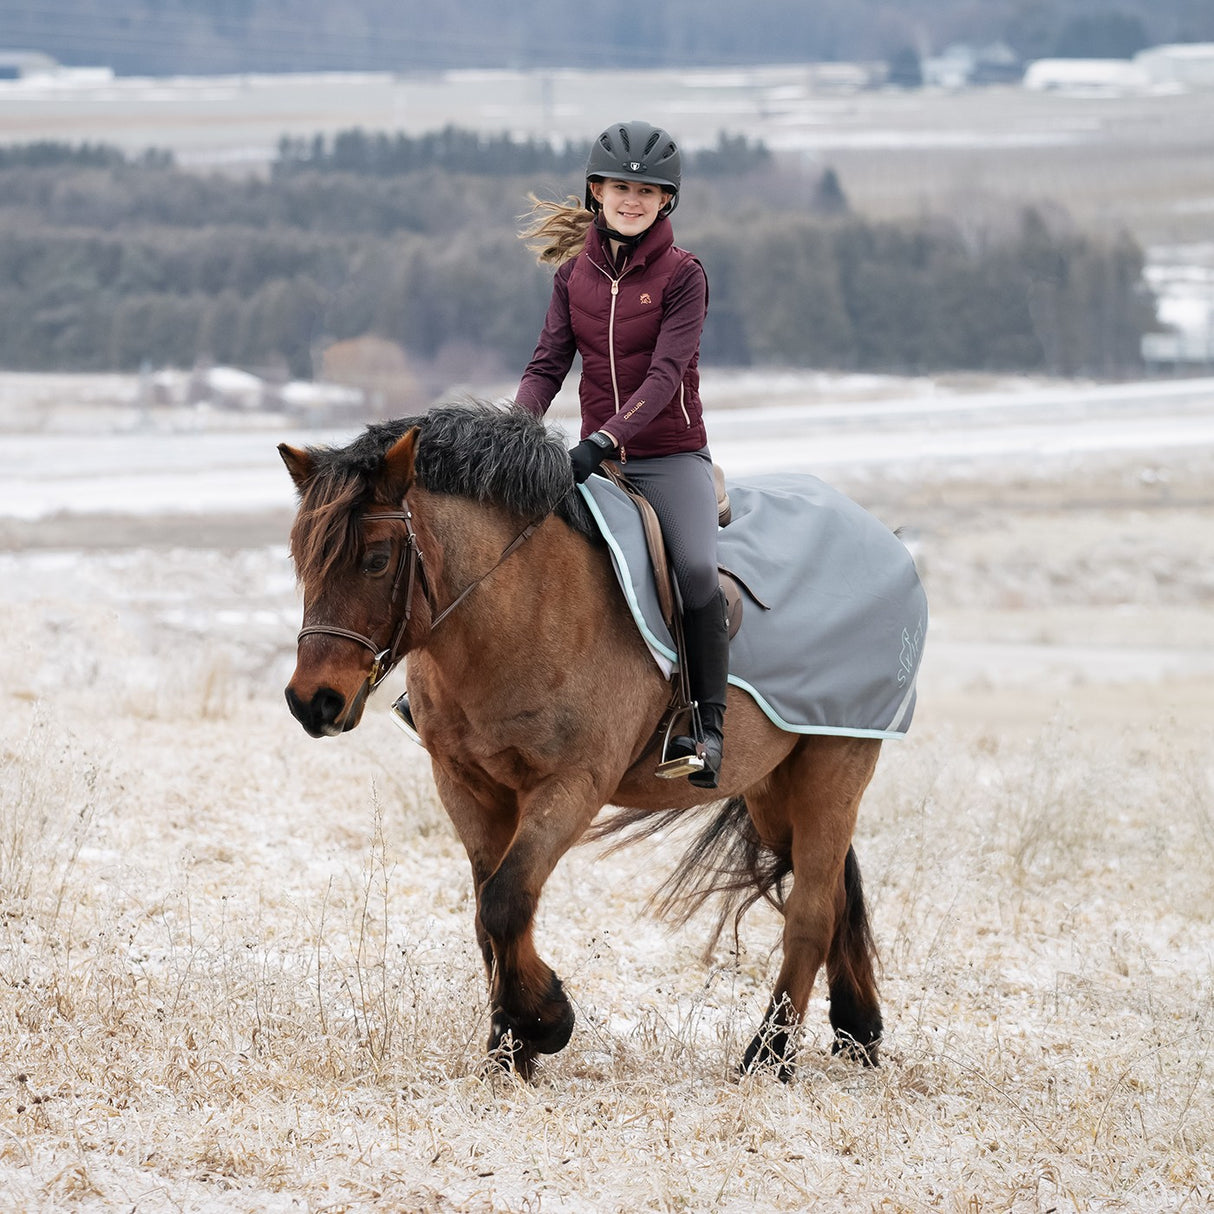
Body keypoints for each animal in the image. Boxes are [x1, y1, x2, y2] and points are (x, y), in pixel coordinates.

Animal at [279, 401, 885, 1081]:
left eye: (377, 558)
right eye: (302, 557)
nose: (312, 701)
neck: (522, 606)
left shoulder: (572, 785)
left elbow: (506, 900)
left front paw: (544, 1023)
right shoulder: (466, 783)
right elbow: (488, 911)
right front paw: (509, 1049)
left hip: (836, 763)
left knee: (811, 912)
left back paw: (768, 1056)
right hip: (773, 791)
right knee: (831, 890)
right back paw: (857, 1030)